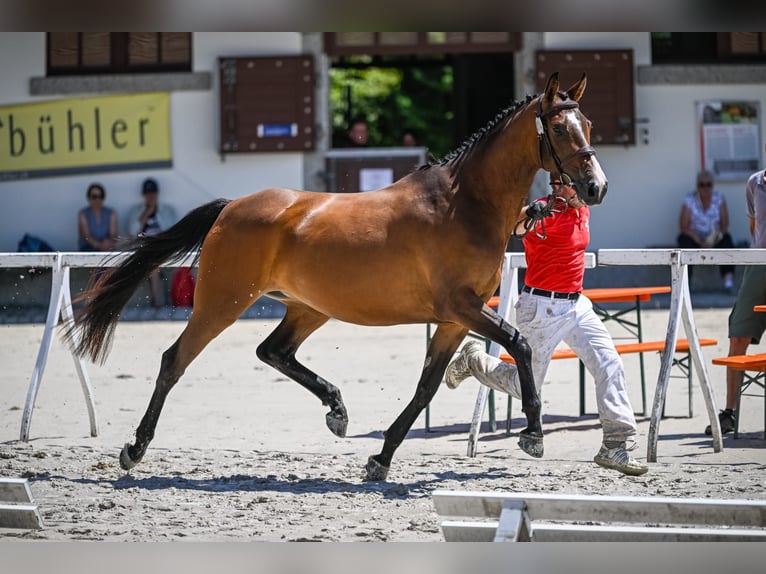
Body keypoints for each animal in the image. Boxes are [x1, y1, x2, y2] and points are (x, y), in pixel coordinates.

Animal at [64, 74, 608, 484]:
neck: (463, 204)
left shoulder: (455, 320)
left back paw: (337, 410)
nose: (595, 188)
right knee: (175, 360)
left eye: (588, 123)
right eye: (559, 128)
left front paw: (380, 459)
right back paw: (135, 448)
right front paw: (533, 434)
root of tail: (231, 206)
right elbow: (519, 344)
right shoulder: (462, 308)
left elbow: (426, 387)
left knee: (273, 351)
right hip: (222, 302)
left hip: (308, 307)